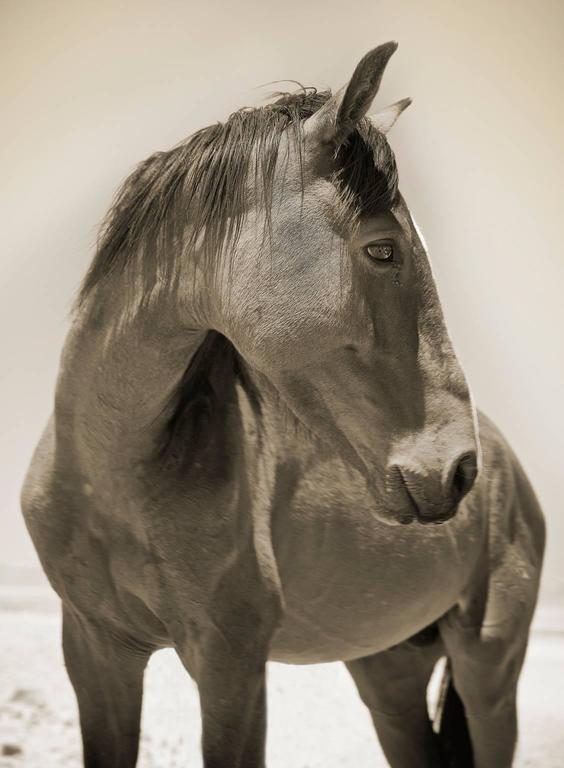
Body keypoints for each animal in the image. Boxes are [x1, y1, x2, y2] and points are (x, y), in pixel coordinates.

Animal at [21, 42, 545, 768]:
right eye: (383, 248)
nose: (457, 468)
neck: (114, 478)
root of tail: (507, 466)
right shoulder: (96, 651)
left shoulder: (231, 665)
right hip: (389, 673)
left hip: (490, 673)